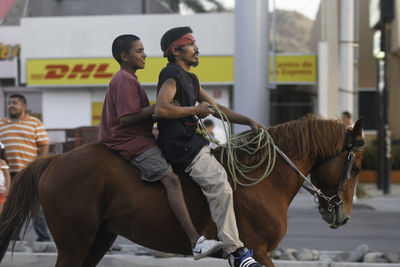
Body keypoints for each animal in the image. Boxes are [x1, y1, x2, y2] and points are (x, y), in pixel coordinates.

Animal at [0, 116, 364, 267]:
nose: (343, 215)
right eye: (357, 167)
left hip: (98, 240)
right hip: (74, 245)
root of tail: (56, 158)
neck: (263, 178)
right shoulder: (258, 250)